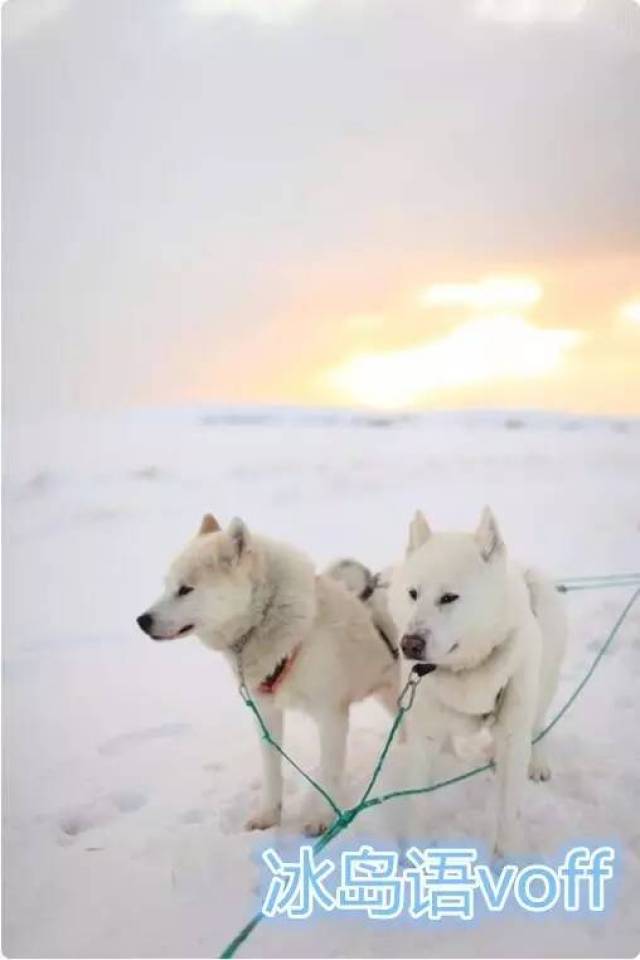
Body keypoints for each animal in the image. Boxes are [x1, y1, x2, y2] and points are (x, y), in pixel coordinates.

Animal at [138, 512, 400, 836]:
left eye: (185, 589)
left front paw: (324, 818)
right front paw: (269, 816)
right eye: (167, 586)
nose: (142, 620)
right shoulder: (266, 713)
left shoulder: (331, 716)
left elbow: (330, 771)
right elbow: (272, 770)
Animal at [388, 506, 568, 860]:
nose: (409, 644)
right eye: (413, 593)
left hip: (541, 686)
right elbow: (418, 803)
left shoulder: (513, 731)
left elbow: (509, 811)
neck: (466, 672)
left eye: (449, 597)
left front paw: (508, 859)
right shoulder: (425, 735)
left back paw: (535, 760)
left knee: (538, 723)